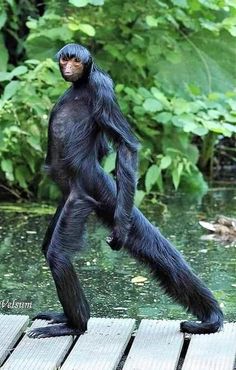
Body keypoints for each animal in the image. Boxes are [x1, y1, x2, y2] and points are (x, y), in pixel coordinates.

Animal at [28, 43, 223, 338]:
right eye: (65, 59)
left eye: (76, 61)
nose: (69, 67)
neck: (81, 85)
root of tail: (93, 173)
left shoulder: (102, 88)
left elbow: (126, 145)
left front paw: (120, 229)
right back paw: (67, 317)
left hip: (80, 197)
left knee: (58, 256)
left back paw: (75, 325)